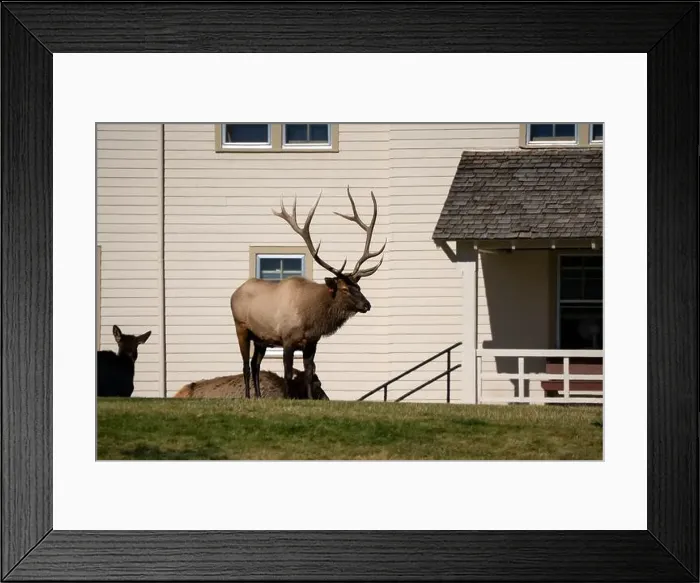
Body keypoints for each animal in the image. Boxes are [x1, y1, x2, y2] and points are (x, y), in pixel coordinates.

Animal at [230, 186, 386, 400]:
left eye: (359, 287)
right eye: (345, 289)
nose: (367, 305)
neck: (311, 319)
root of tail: (234, 293)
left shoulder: (312, 343)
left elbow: (309, 372)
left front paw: (310, 399)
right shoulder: (287, 339)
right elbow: (288, 373)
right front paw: (288, 397)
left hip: (261, 338)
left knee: (255, 364)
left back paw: (259, 396)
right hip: (241, 327)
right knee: (246, 364)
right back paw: (247, 396)